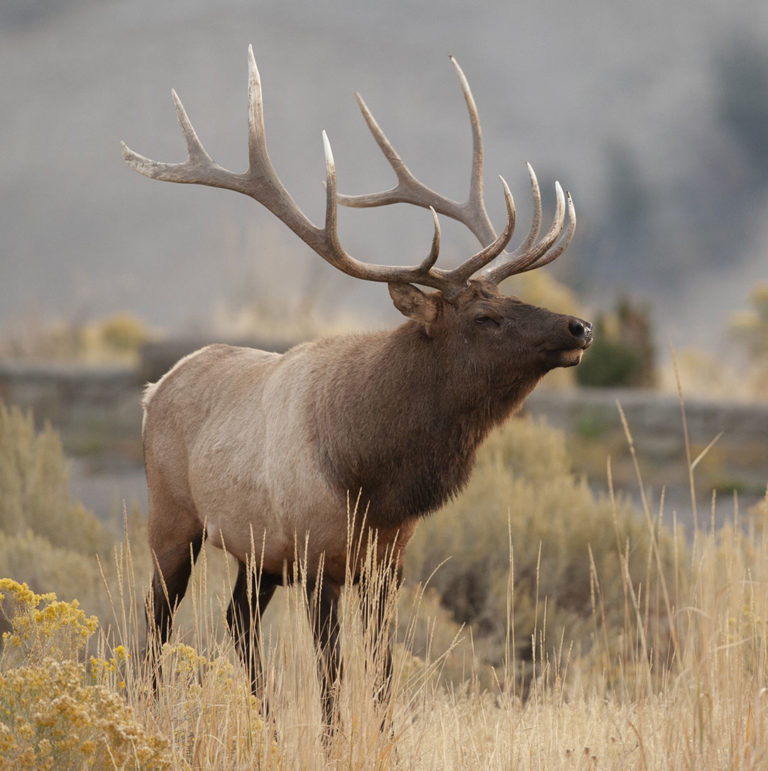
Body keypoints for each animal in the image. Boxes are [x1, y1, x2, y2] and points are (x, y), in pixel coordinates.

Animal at [122, 46, 592, 721]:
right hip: (172, 519)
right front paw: (333, 735)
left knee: (236, 621)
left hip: (257, 554)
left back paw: (267, 723)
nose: (579, 326)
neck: (373, 473)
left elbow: (383, 673)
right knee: (155, 624)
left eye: (509, 297)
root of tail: (153, 390)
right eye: (484, 317)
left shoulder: (387, 564)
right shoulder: (320, 559)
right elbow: (332, 680)